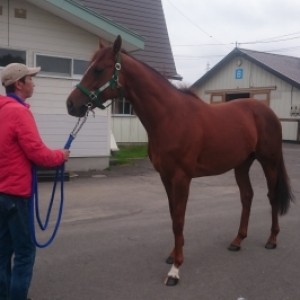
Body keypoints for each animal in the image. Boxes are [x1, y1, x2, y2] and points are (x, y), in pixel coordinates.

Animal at [66, 35, 292, 286]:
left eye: (98, 69)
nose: (71, 104)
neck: (170, 117)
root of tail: (267, 112)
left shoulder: (182, 178)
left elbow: (179, 220)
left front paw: (175, 270)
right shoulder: (166, 177)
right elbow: (173, 215)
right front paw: (172, 256)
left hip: (269, 161)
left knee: (271, 196)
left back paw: (272, 239)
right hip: (242, 164)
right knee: (247, 196)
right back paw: (237, 241)